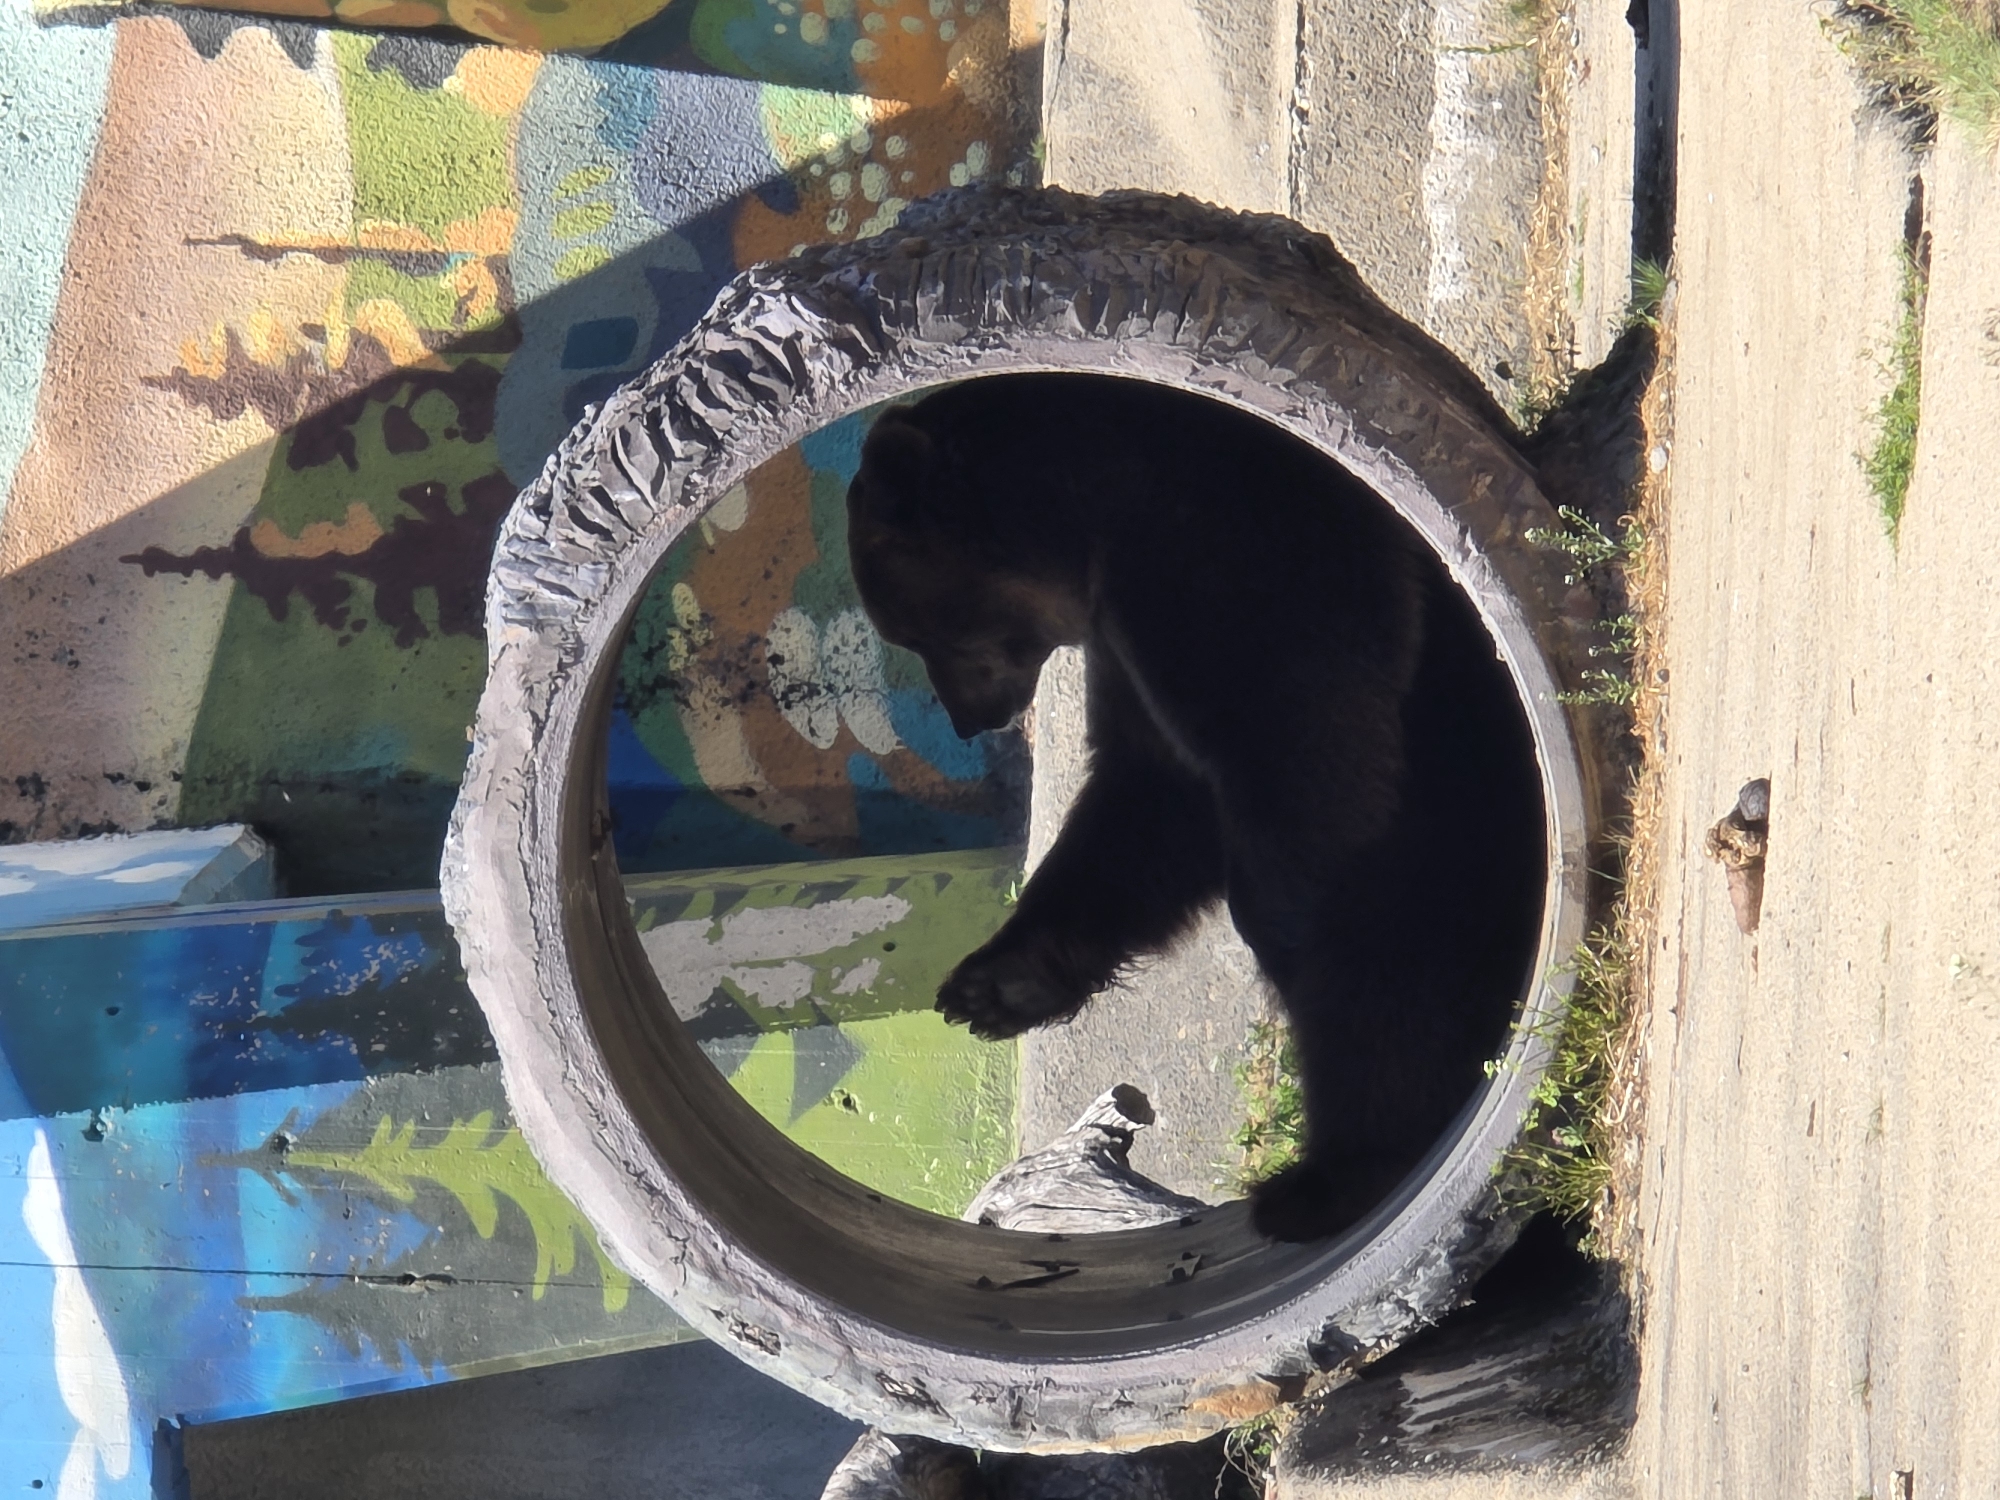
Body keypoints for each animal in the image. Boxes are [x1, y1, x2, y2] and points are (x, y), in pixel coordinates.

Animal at [845, 373, 1546, 1242]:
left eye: (915, 632)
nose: (973, 720)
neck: (1090, 527)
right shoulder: (1130, 641)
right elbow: (1151, 801)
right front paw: (993, 987)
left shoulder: (1227, 558)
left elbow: (1301, 766)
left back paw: (1325, 1178)